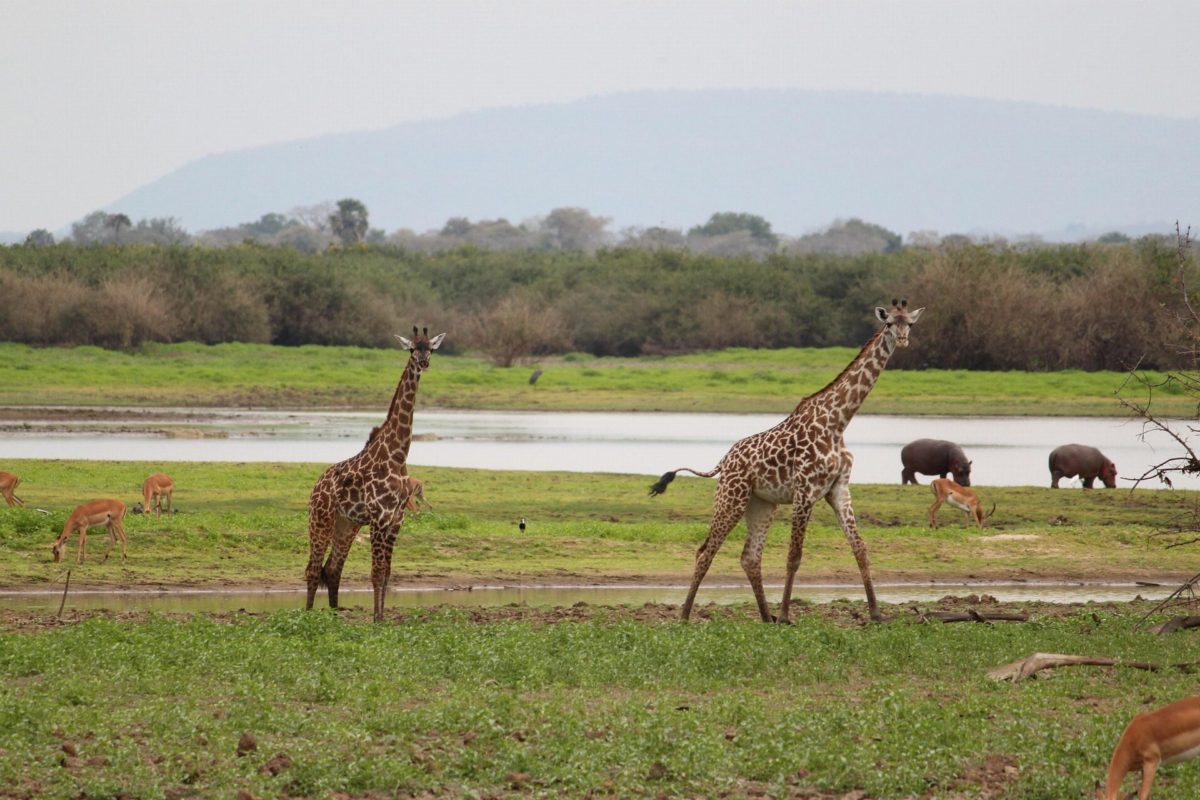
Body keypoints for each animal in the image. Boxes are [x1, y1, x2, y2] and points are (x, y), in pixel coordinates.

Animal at [304, 326, 445, 622]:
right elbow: (376, 573)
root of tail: (316, 486)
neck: (398, 455)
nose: (424, 362)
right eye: (412, 349)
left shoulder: (395, 520)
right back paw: (309, 615)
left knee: (332, 569)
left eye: (431, 348)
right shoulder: (380, 518)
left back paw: (334, 616)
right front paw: (376, 621)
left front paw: (381, 618)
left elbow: (387, 574)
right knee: (312, 569)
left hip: (346, 524)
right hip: (320, 520)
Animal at [650, 299, 924, 624]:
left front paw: (877, 613)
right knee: (706, 550)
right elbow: (794, 556)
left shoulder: (839, 490)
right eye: (889, 323)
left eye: (910, 324)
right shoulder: (804, 492)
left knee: (750, 557)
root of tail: (724, 460)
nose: (903, 340)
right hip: (732, 497)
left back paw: (764, 617)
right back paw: (685, 615)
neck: (837, 423)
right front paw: (785, 615)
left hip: (761, 504)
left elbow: (860, 548)